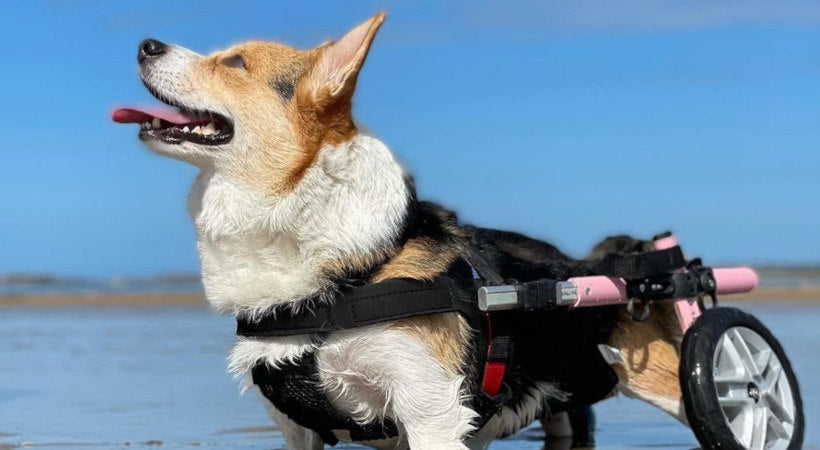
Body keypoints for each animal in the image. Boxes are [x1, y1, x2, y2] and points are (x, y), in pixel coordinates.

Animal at [115, 12, 688, 448]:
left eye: (235, 62)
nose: (145, 44)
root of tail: (603, 263)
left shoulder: (428, 410)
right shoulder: (296, 428)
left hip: (666, 377)